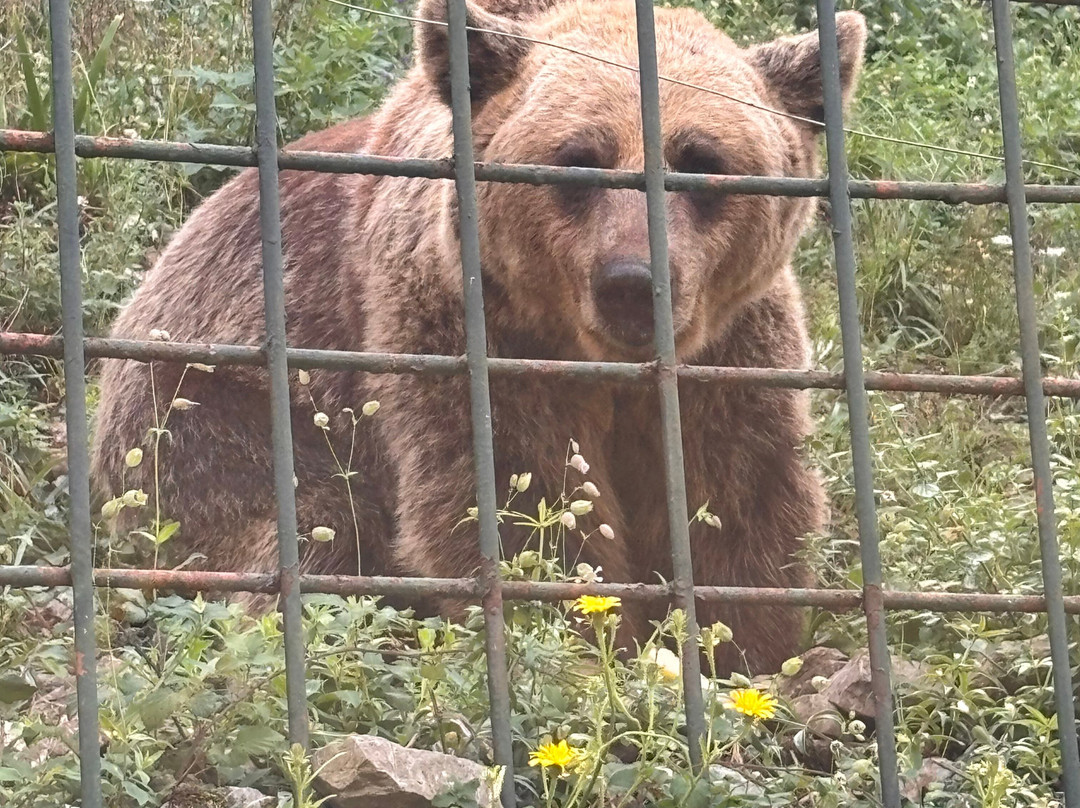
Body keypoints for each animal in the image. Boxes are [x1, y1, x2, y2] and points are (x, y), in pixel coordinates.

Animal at [90, 0, 867, 675]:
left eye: (700, 160)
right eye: (579, 159)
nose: (631, 280)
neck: (596, 355)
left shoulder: (729, 352)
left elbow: (735, 495)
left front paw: (745, 648)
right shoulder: (471, 332)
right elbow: (512, 497)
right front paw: (579, 640)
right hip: (203, 416)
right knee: (312, 526)